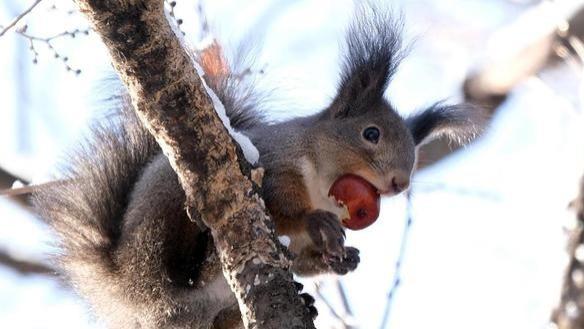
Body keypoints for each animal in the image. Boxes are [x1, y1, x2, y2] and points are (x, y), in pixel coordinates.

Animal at [30, 4, 480, 328]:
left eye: (414, 155)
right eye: (371, 134)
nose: (399, 183)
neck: (322, 181)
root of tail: (128, 293)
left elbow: (301, 258)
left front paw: (344, 259)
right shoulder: (275, 163)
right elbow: (279, 208)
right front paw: (315, 220)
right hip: (161, 226)